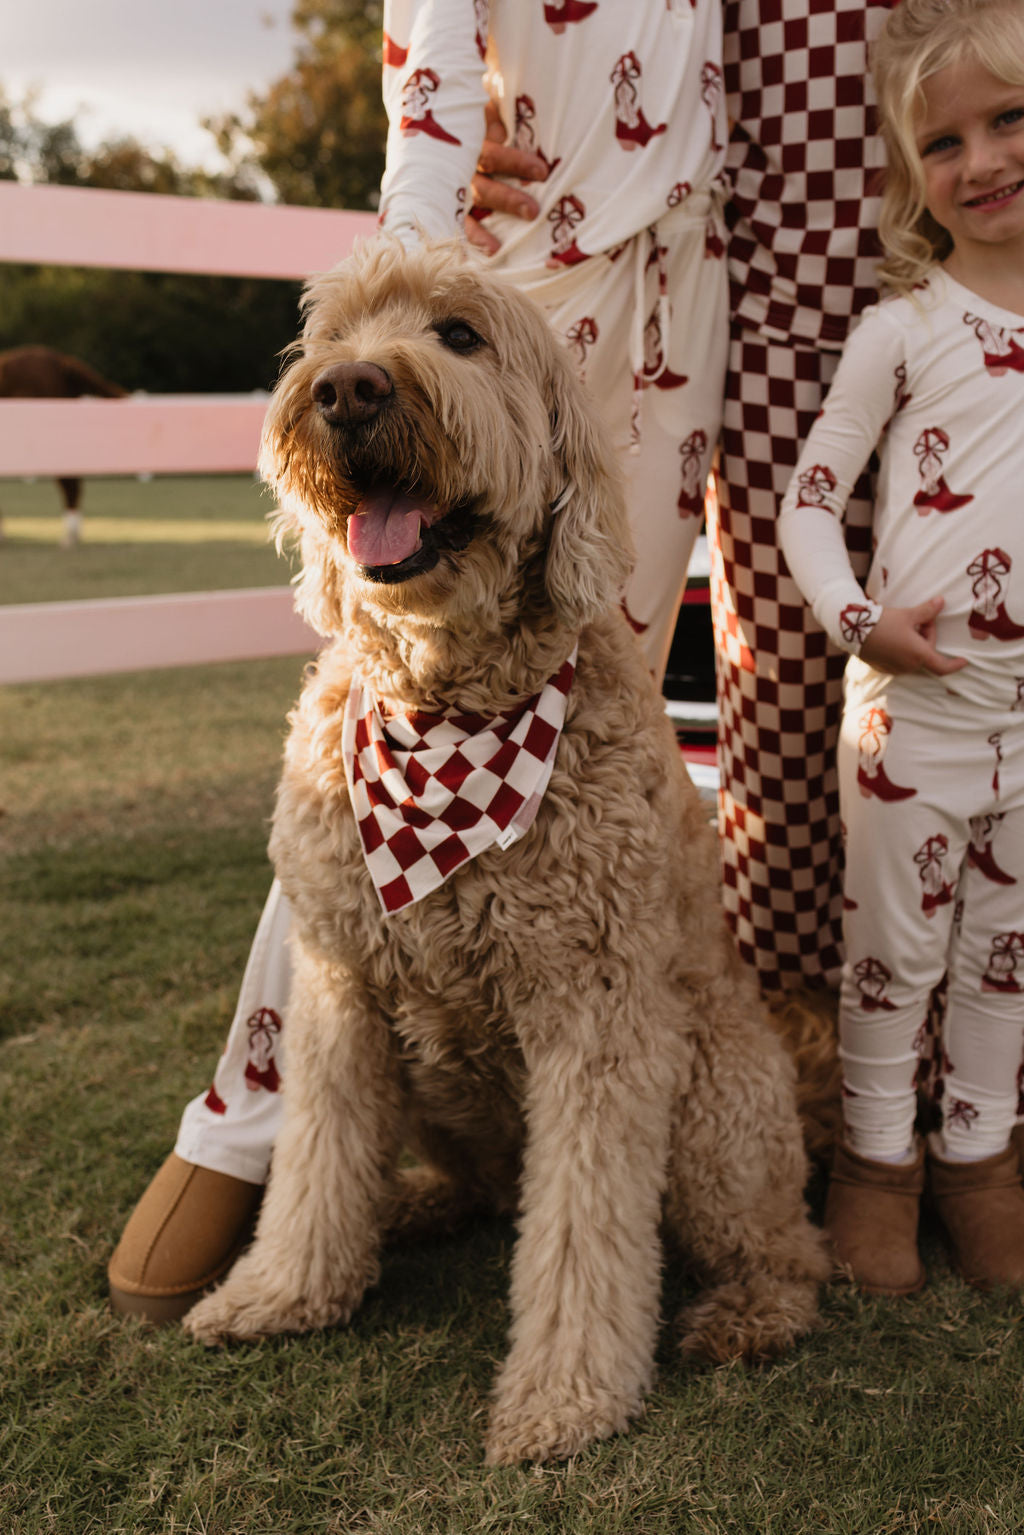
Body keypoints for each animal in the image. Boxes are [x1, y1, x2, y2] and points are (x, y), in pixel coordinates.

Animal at [186, 236, 835, 1461]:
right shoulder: (340, 988)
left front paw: (565, 1395)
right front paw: (284, 1288)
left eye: (460, 335)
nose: (350, 389)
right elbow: (315, 1162)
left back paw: (748, 1312)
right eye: (333, 337)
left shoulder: (599, 1016)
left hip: (715, 1098)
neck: (444, 710)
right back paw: (411, 1201)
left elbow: (582, 1227)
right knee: (473, 1186)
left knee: (785, 1247)